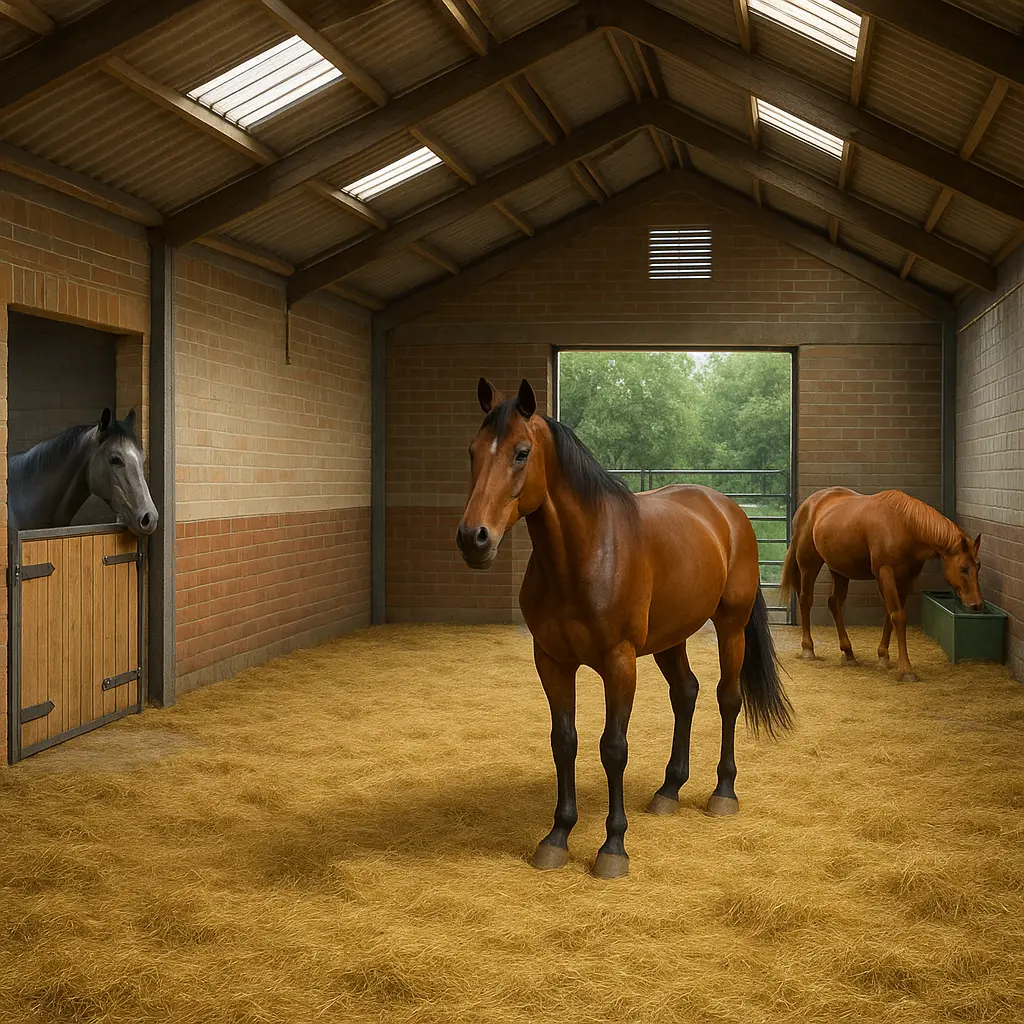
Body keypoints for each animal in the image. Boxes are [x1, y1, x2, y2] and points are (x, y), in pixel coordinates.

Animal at [457, 378, 792, 879]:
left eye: (521, 452)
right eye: (473, 452)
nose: (473, 538)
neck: (586, 554)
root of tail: (728, 511)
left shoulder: (619, 663)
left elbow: (613, 747)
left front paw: (612, 846)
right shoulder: (552, 662)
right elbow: (564, 742)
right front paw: (557, 837)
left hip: (729, 627)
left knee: (727, 698)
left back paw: (723, 792)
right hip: (671, 639)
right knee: (686, 694)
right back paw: (669, 791)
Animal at [780, 487, 983, 682]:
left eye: (978, 566)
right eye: (964, 568)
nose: (976, 604)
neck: (903, 524)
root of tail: (808, 505)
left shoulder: (906, 578)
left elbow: (890, 613)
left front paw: (883, 656)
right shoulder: (885, 573)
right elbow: (898, 616)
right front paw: (906, 670)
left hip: (839, 570)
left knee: (835, 603)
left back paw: (848, 652)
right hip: (809, 564)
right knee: (806, 600)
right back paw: (808, 649)